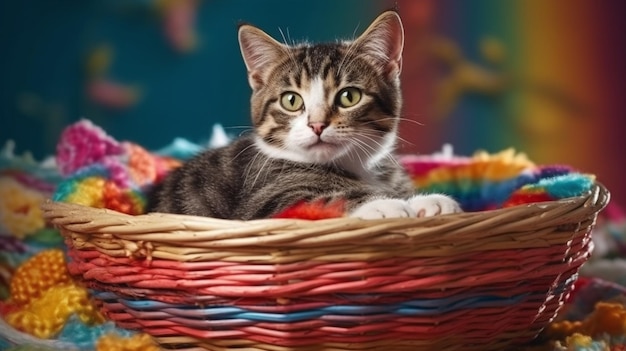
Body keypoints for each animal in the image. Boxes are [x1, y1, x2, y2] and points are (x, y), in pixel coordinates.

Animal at [145, 10, 458, 220]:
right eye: (292, 101)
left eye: (349, 96)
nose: (317, 125)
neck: (356, 167)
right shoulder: (267, 200)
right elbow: (321, 200)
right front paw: (385, 204)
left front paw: (428, 201)